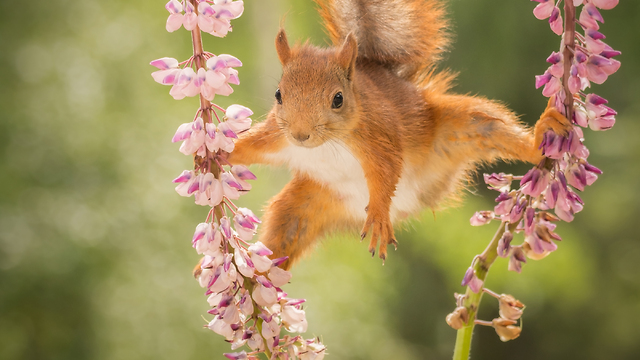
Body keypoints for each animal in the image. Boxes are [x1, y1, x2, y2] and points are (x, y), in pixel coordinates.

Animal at [224, 0, 568, 268]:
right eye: (278, 95)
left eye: (338, 99)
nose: (300, 134)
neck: (327, 144)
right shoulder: (276, 136)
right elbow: (249, 147)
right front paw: (217, 153)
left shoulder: (378, 135)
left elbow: (388, 169)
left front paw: (378, 214)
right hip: (306, 203)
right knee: (285, 231)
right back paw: (257, 276)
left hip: (466, 127)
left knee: (495, 128)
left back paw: (542, 137)